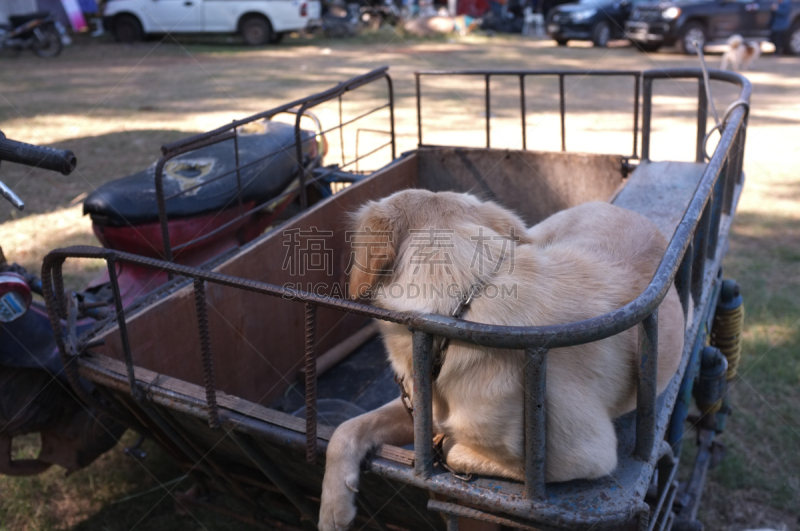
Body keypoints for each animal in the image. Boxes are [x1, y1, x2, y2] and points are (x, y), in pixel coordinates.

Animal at [322, 192, 684, 531]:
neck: (462, 306)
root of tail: (626, 211)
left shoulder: (585, 454)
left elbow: (453, 450)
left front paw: (446, 447)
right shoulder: (426, 405)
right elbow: (348, 426)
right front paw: (333, 507)